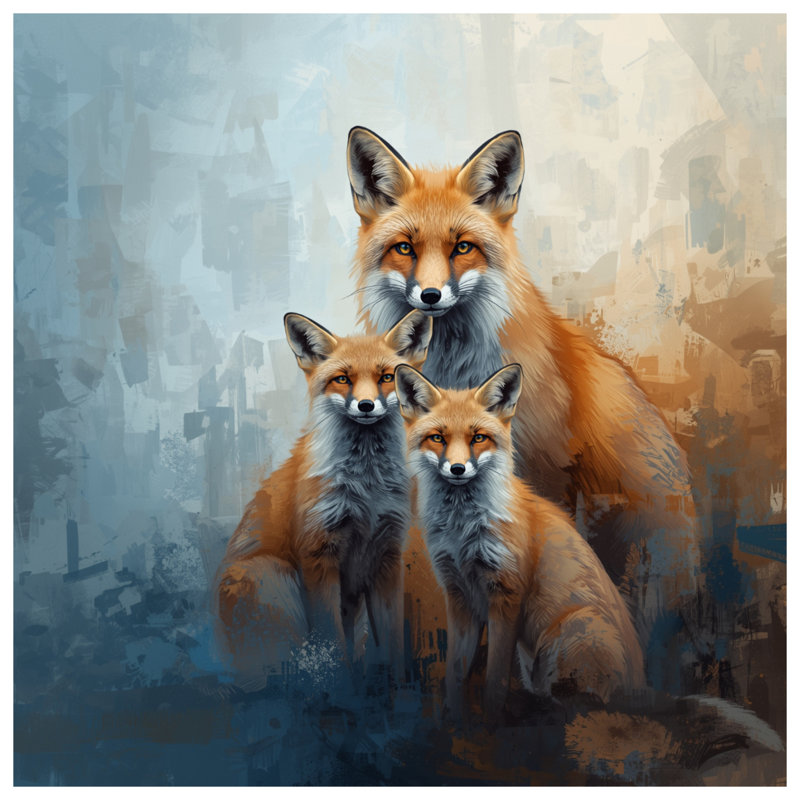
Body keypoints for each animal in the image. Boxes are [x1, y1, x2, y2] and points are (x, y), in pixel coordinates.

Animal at [216, 309, 432, 684]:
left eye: (387, 377)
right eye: (342, 379)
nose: (365, 405)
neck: (367, 490)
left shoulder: (387, 557)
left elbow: (392, 645)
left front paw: (397, 689)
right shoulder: (318, 553)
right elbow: (332, 647)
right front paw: (342, 688)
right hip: (272, 575)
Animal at [394, 362, 645, 721]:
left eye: (478, 438)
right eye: (438, 438)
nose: (457, 469)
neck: (462, 531)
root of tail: (643, 688)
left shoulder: (506, 595)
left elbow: (495, 680)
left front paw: (490, 722)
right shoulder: (459, 596)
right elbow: (455, 673)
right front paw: (454, 719)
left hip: (573, 634)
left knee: (586, 705)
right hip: (536, 663)